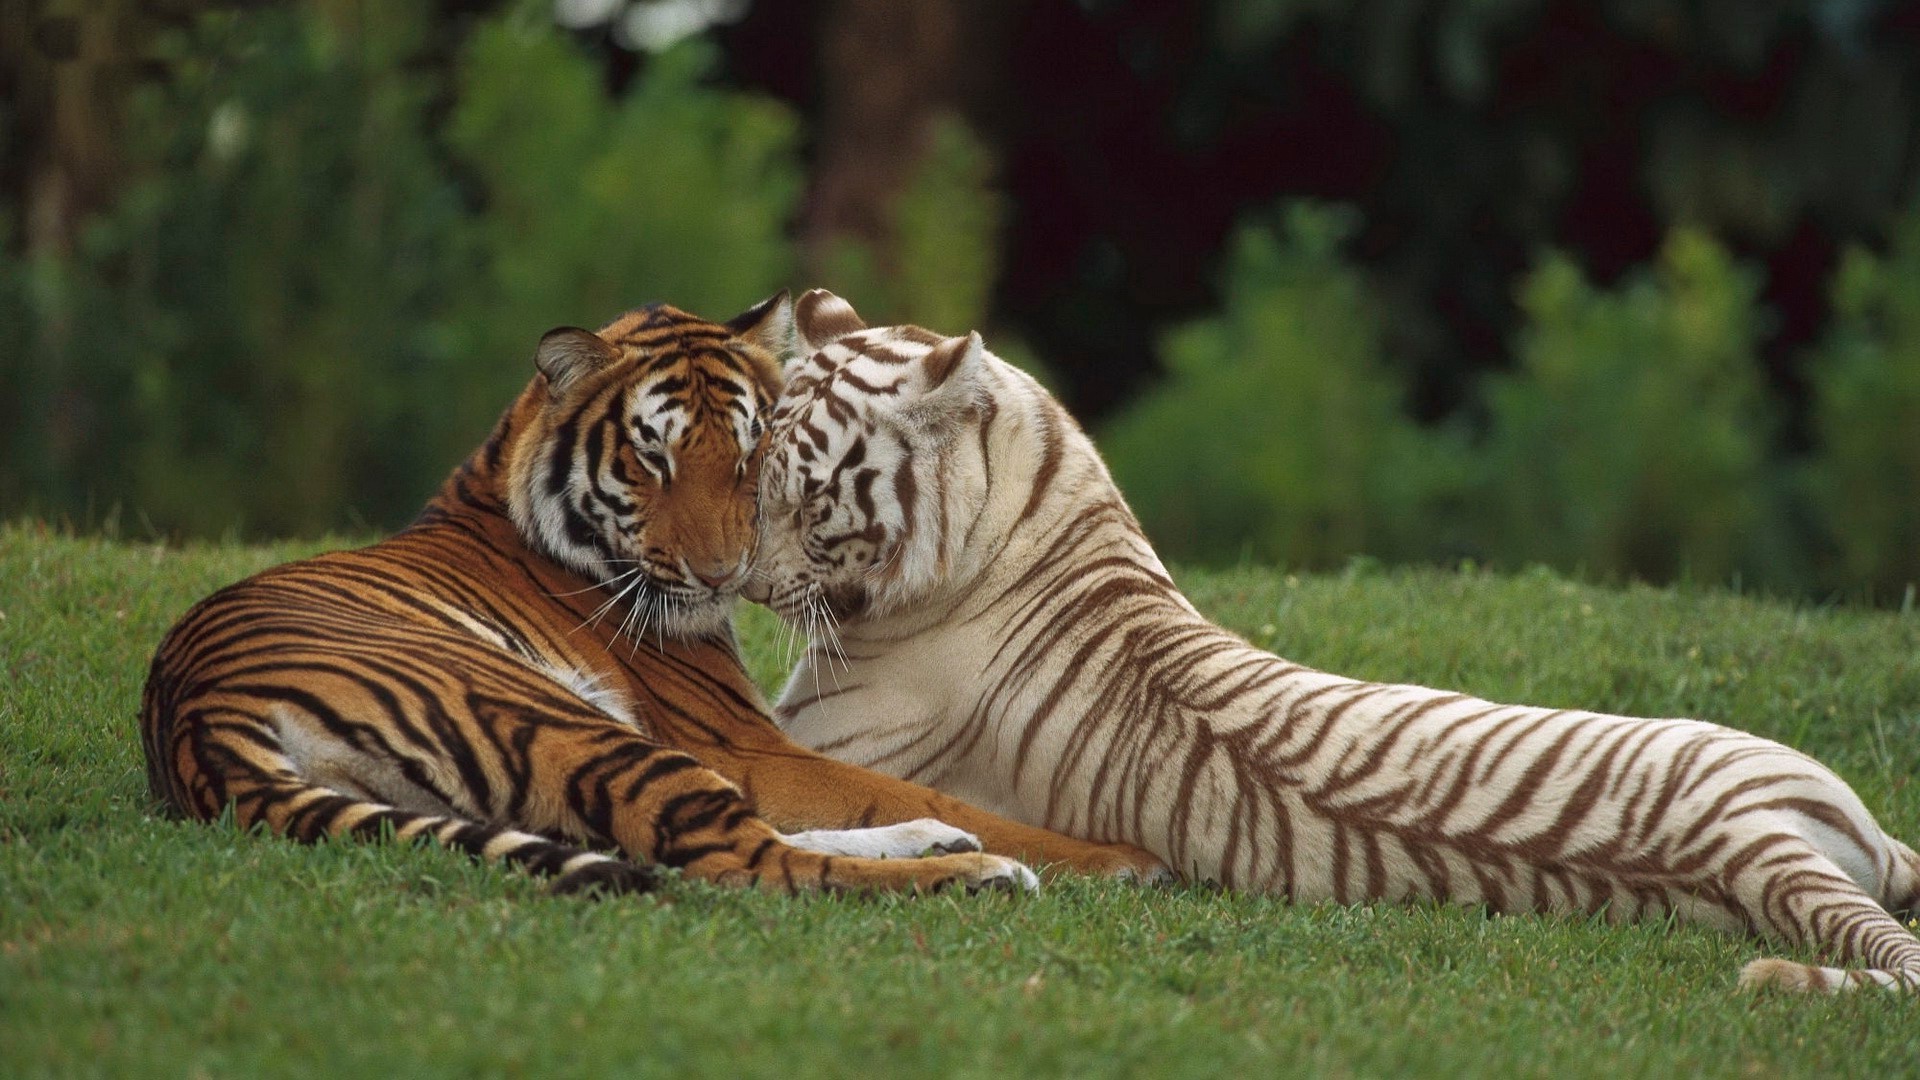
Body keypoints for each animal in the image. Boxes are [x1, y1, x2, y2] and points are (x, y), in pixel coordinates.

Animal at [142, 292, 1159, 891]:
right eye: (652, 458)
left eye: (748, 454)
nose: (723, 574)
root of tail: (196, 720)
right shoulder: (740, 743)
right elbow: (906, 791)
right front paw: (1113, 858)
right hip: (568, 723)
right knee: (748, 860)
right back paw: (980, 870)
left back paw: (944, 849)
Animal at [741, 282, 1920, 991]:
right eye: (749, 475)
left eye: (806, 498)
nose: (740, 581)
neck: (1026, 490)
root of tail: (1748, 838)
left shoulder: (813, 741)